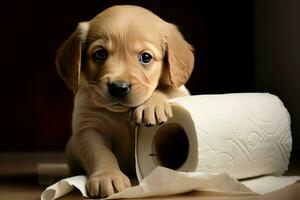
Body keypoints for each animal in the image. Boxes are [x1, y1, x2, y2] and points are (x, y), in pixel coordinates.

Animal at [54, 5, 193, 198]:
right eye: (100, 54)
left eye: (146, 57)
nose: (119, 87)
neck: (120, 114)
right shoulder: (89, 127)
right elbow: (100, 153)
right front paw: (107, 177)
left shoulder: (181, 92)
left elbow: (165, 88)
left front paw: (152, 105)